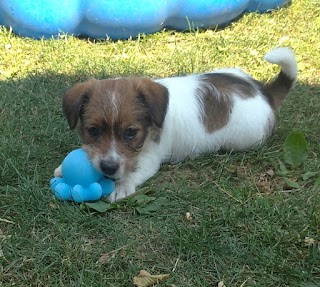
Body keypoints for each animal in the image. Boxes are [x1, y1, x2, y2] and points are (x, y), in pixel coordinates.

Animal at [54, 46, 298, 202]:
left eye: (131, 132)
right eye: (93, 131)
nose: (108, 168)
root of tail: (263, 91)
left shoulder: (150, 158)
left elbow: (133, 171)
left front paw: (121, 187)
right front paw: (62, 168)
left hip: (248, 139)